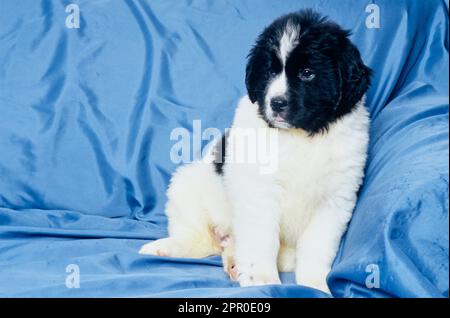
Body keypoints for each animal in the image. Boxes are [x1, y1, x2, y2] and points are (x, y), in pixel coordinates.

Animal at [142, 9, 372, 294]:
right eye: (270, 71)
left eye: (307, 73)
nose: (276, 103)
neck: (302, 136)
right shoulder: (258, 191)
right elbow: (262, 239)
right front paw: (262, 279)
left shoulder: (335, 199)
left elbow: (317, 248)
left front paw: (316, 285)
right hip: (188, 186)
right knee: (197, 237)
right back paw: (167, 247)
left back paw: (233, 261)